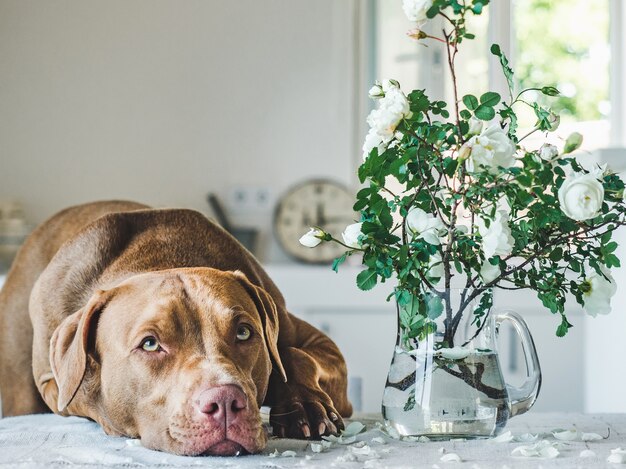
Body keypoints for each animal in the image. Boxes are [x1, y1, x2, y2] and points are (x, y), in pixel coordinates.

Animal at [0, 200, 352, 454]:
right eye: (150, 344)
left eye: (243, 332)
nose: (225, 401)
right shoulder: (52, 382)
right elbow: (82, 396)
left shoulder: (320, 344)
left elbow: (294, 355)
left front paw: (303, 406)